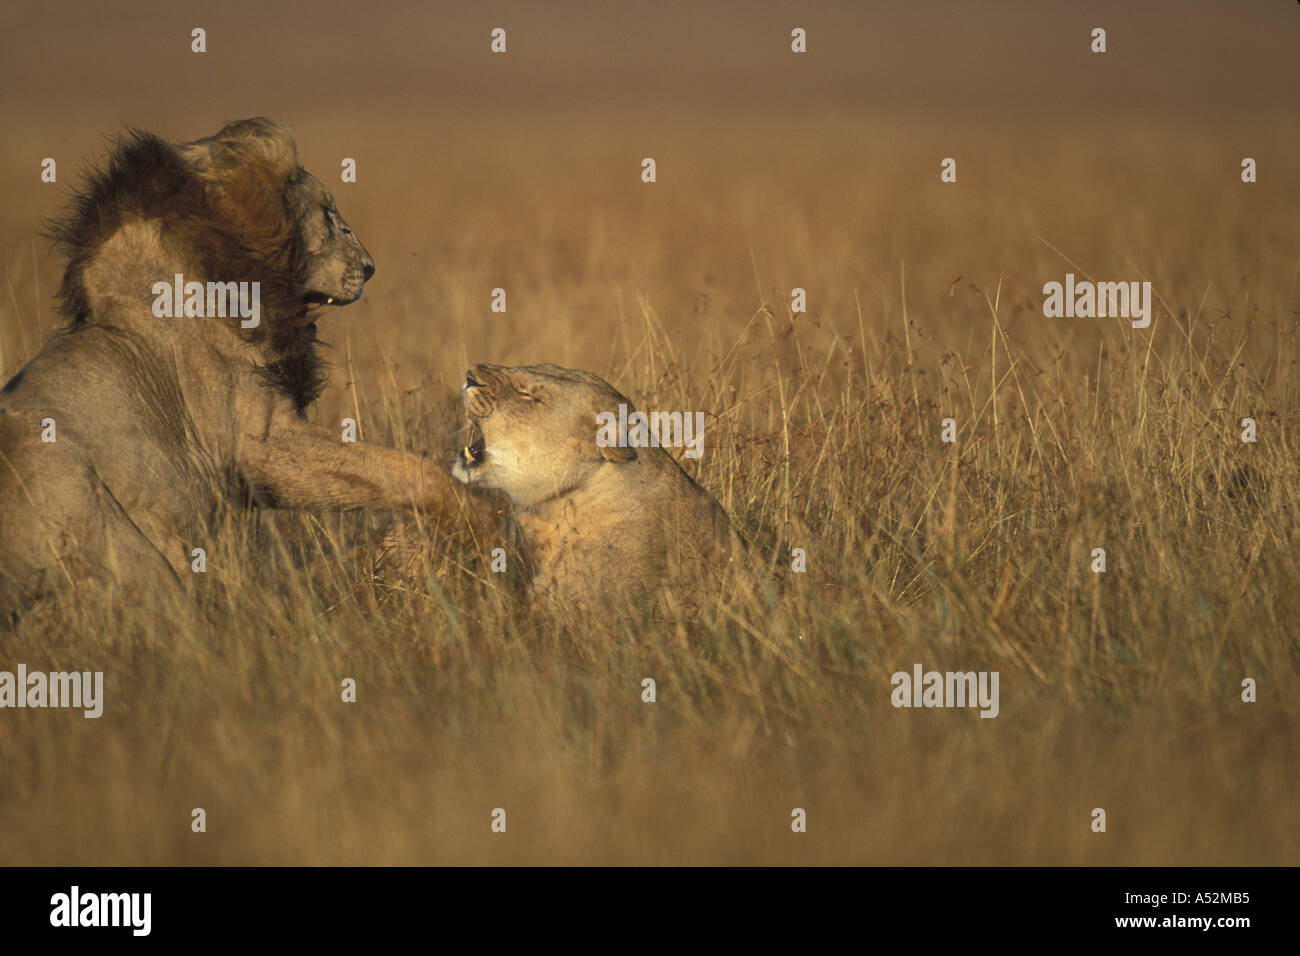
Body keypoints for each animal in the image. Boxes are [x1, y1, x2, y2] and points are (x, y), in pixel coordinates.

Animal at [0, 118, 482, 618]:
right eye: (328, 214)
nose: (369, 268)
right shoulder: (261, 446)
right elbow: (413, 472)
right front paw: (473, 536)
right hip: (126, 546)